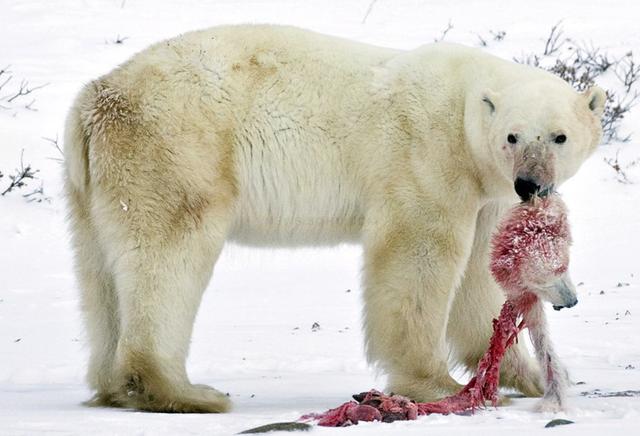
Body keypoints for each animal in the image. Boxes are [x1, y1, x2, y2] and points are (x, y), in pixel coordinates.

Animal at [65, 23, 604, 412]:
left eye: (559, 136)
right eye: (513, 135)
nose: (530, 184)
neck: (465, 107)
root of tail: (96, 97)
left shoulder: (485, 192)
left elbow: (479, 276)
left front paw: (529, 376)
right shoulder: (426, 156)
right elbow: (417, 255)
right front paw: (436, 384)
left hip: (94, 184)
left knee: (100, 274)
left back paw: (115, 386)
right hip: (176, 149)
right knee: (168, 257)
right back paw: (185, 392)